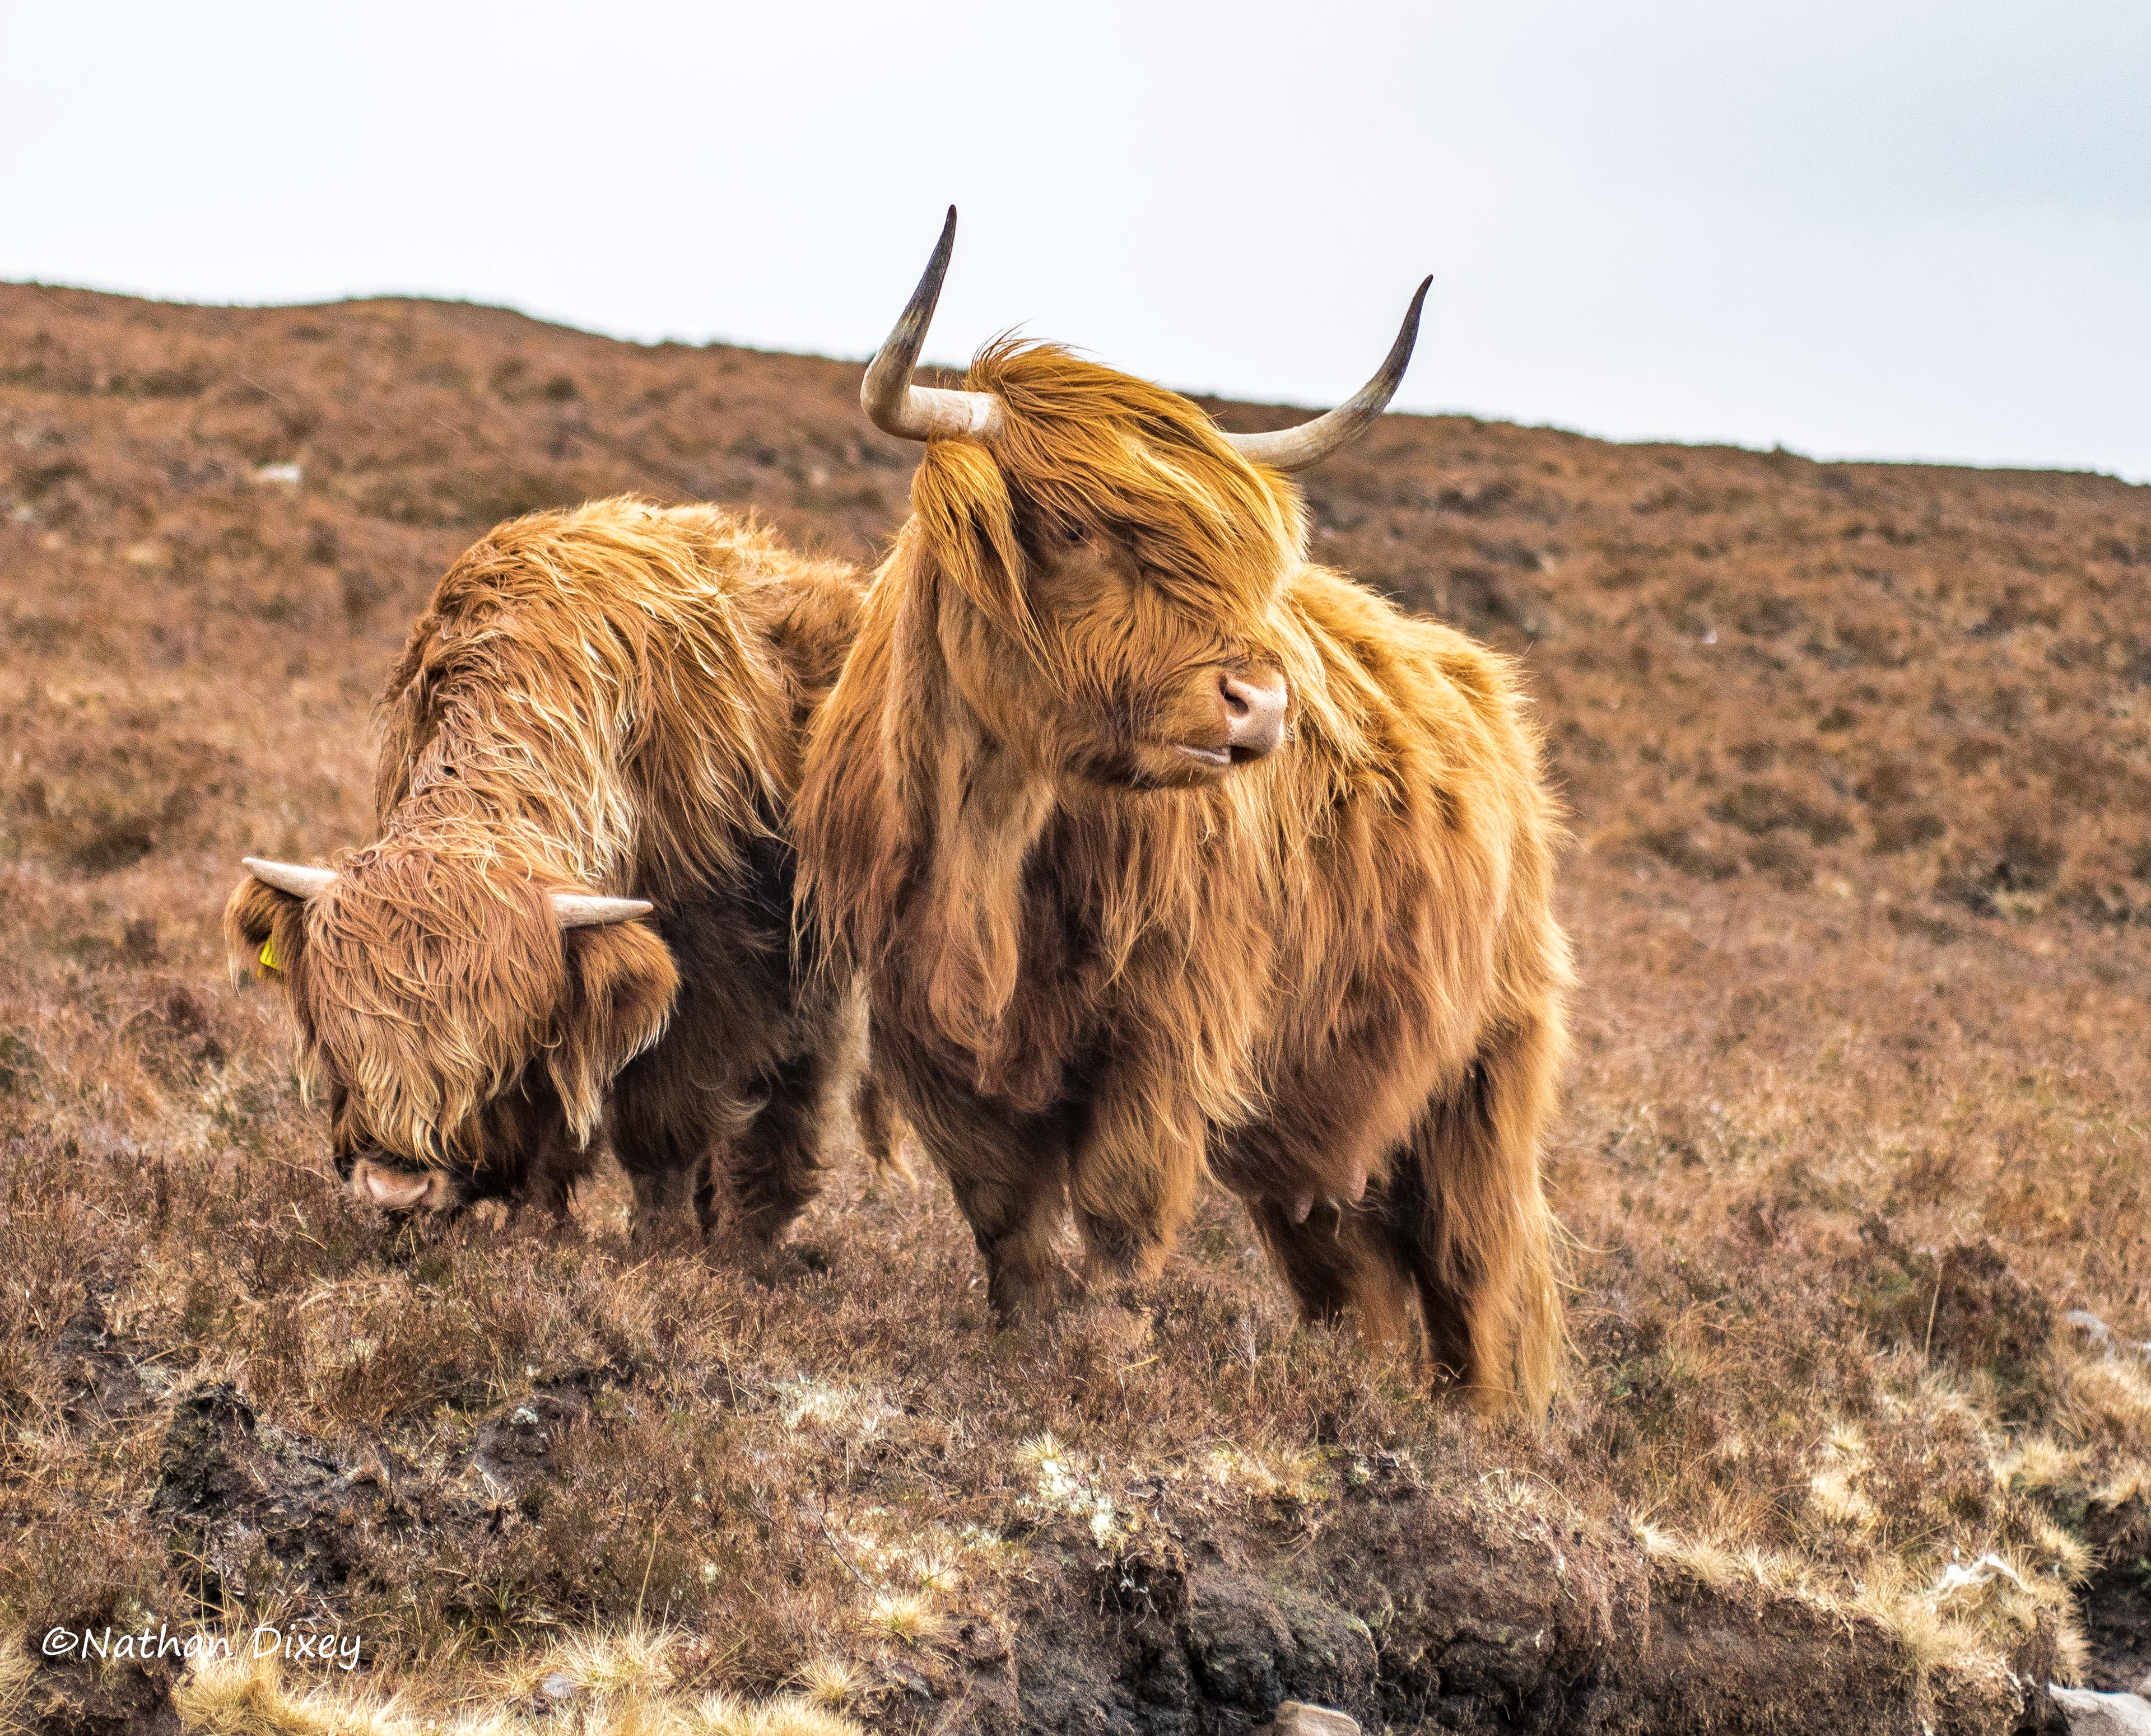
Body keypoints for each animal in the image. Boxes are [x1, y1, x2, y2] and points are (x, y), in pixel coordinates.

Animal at [227, 497, 893, 1239]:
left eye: (493, 1059)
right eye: (341, 1042)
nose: (396, 1188)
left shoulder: (707, 968)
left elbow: (666, 1126)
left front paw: (660, 1244)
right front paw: (534, 1233)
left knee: (788, 1087)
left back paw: (747, 1238)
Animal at [795, 211, 1572, 1414]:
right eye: (1073, 527)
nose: (1263, 702)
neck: (995, 833)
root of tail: (1485, 682)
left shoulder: (1169, 1032)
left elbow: (1120, 1214)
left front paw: (1109, 1366)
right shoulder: (927, 1036)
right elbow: (1005, 1220)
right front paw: (1021, 1350)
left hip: (1484, 1074)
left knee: (1477, 1268)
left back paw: (1485, 1427)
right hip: (1316, 1120)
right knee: (1350, 1273)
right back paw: (1358, 1396)